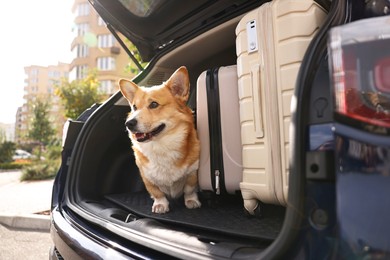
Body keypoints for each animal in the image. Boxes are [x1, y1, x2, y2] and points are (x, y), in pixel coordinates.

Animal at [119, 65, 201, 213]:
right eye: (134, 107)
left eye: (154, 104)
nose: (129, 124)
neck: (161, 145)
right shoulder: (147, 177)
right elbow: (157, 192)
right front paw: (160, 205)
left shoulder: (192, 172)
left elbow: (189, 190)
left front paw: (191, 201)